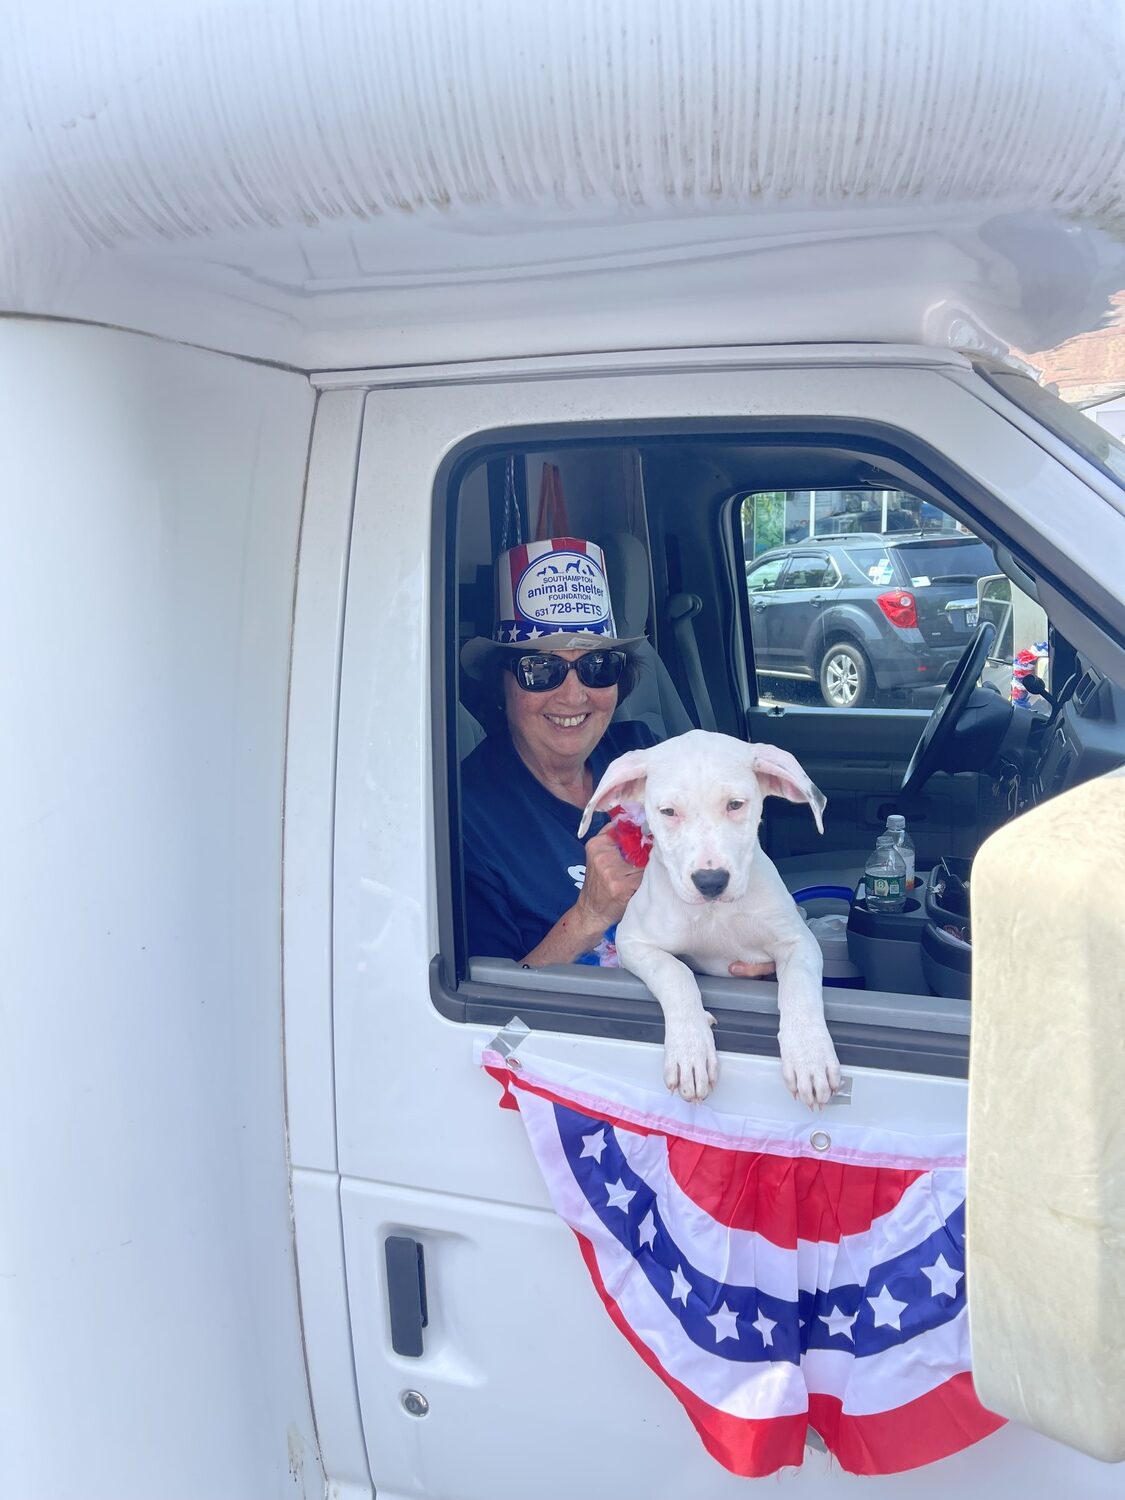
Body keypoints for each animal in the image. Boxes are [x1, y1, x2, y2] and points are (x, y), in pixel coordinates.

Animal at [585, 732, 840, 1110]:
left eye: (735, 804)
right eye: (668, 812)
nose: (710, 881)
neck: (714, 913)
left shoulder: (798, 941)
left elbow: (800, 986)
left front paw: (810, 1056)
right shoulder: (632, 941)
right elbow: (676, 972)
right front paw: (690, 1051)